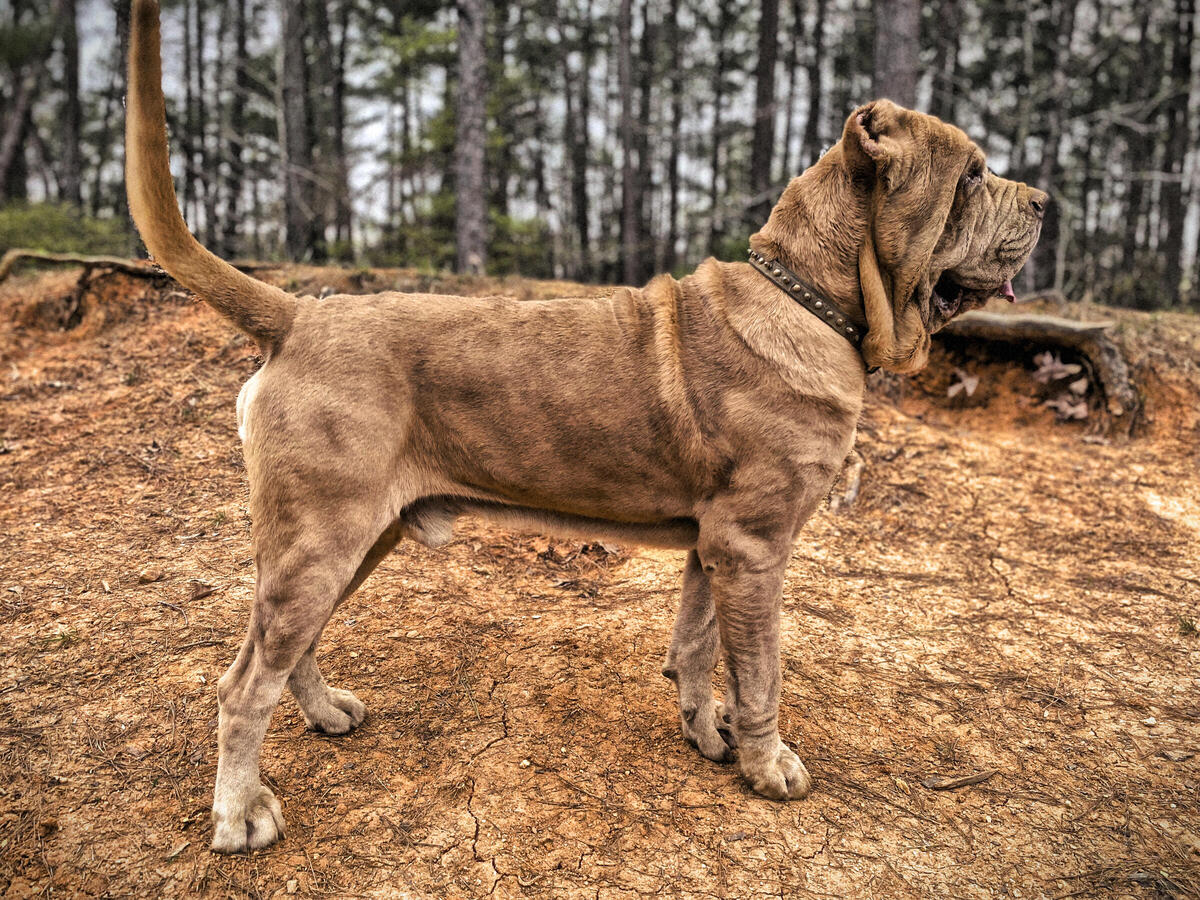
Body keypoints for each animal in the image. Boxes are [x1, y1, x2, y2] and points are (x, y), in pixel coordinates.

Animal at [124, 0, 1041, 854]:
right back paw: (241, 812)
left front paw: (705, 731)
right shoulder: (756, 546)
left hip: (353, 538)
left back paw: (323, 712)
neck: (809, 297)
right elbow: (762, 673)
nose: (1043, 200)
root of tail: (300, 315)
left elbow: (698, 646)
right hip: (323, 537)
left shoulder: (715, 547)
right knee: (244, 684)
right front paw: (768, 764)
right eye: (972, 175)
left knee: (291, 650)